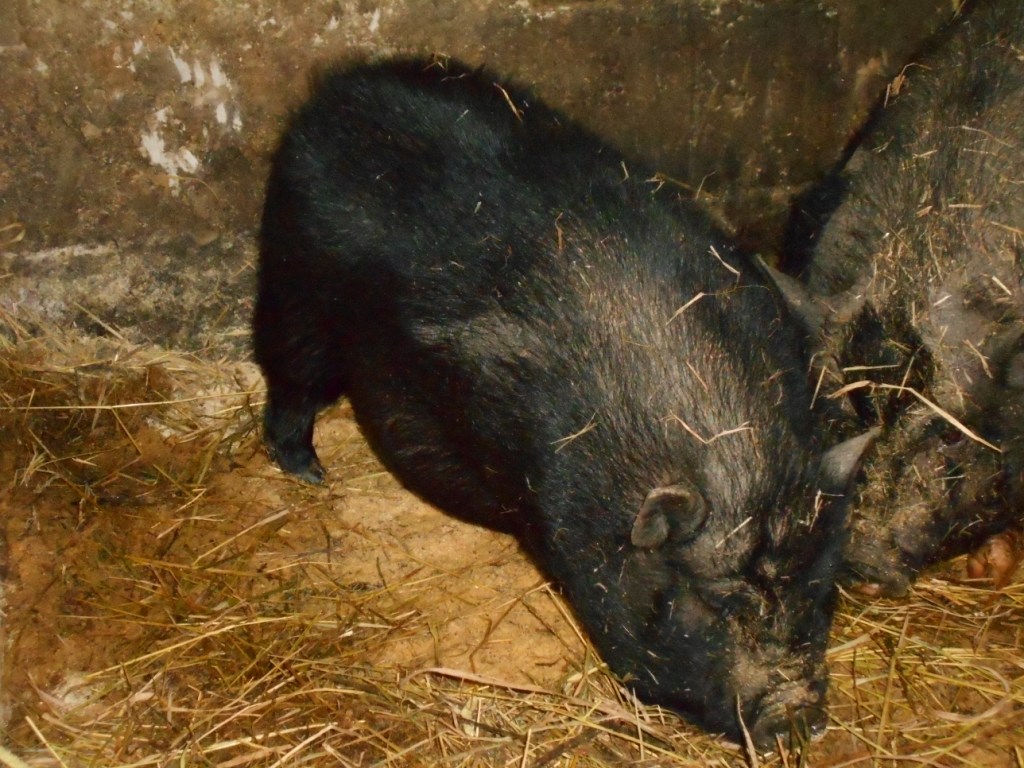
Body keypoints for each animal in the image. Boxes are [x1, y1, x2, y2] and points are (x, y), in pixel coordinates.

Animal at [252, 56, 870, 746]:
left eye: (822, 592)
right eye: (718, 604)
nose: (798, 711)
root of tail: (334, 90)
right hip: (295, 276)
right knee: (290, 373)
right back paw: (307, 472)